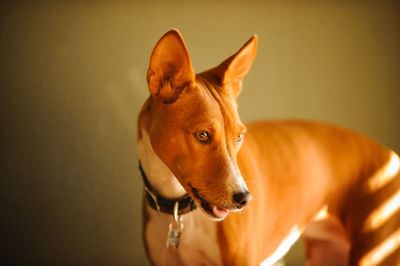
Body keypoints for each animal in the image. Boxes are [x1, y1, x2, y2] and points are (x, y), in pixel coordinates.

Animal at [138, 29, 400, 266]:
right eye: (202, 135)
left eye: (239, 137)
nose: (244, 199)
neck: (180, 212)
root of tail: (391, 156)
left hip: (376, 252)